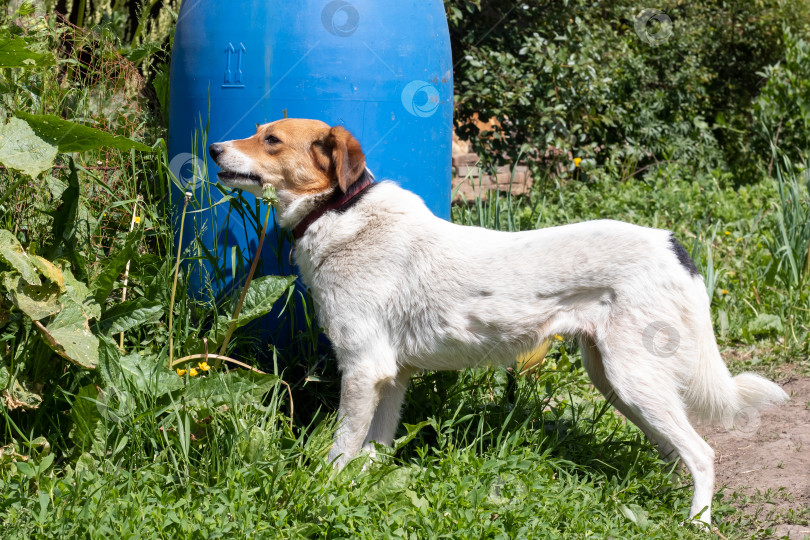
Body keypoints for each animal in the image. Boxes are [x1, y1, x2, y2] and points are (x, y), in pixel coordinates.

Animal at [207, 119, 784, 528]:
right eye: (257, 131)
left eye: (271, 140)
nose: (211, 148)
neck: (338, 213)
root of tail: (671, 244)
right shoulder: (391, 377)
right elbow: (374, 448)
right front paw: (368, 488)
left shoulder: (364, 370)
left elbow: (341, 449)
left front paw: (325, 492)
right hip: (617, 381)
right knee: (674, 450)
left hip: (633, 377)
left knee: (702, 453)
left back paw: (696, 522)